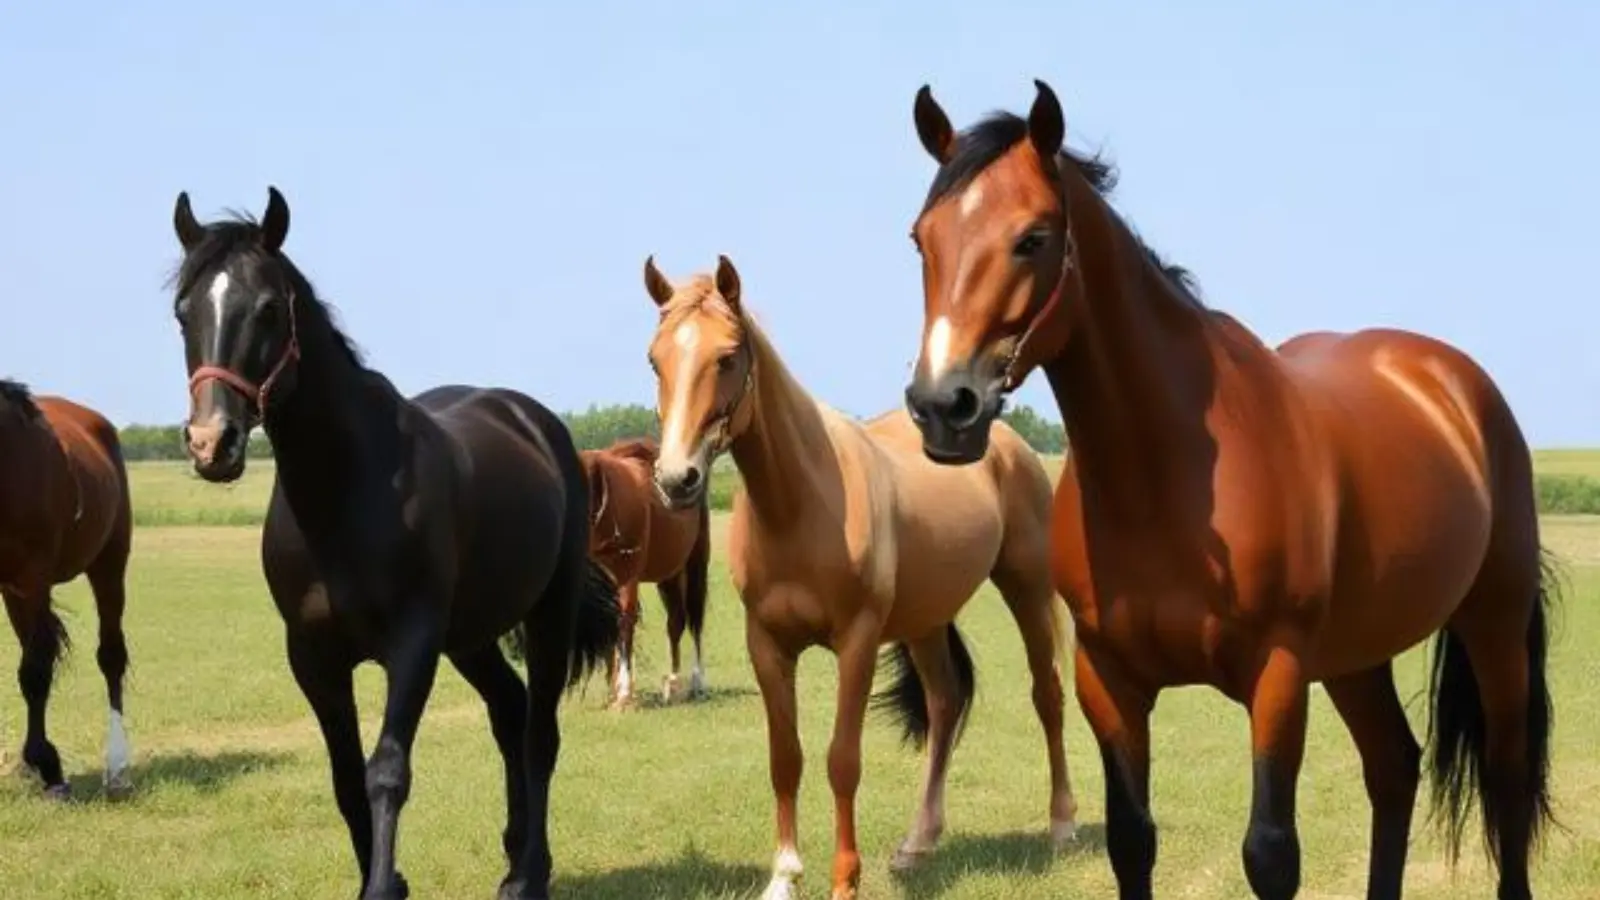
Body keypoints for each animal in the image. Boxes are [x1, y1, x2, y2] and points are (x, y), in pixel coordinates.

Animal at [0, 380, 133, 800]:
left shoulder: (33, 577)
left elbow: (35, 673)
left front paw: (49, 766)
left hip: (109, 563)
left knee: (111, 657)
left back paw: (117, 767)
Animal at [166, 186, 621, 900]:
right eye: (183, 312)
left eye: (267, 308)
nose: (213, 443)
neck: (345, 492)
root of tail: (536, 423)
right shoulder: (313, 657)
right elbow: (345, 778)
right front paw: (382, 881)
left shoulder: (412, 643)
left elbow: (386, 770)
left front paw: (385, 885)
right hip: (470, 637)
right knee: (509, 712)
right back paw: (514, 857)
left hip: (547, 613)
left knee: (540, 735)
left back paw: (531, 875)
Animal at [581, 438, 712, 709]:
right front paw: (613, 690)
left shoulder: (628, 578)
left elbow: (625, 624)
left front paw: (623, 693)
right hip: (670, 574)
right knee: (675, 622)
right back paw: (673, 683)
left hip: (695, 565)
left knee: (695, 620)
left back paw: (697, 682)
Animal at [641, 254, 1077, 900]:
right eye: (656, 358)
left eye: (727, 356)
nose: (676, 480)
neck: (800, 503)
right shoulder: (766, 643)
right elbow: (785, 757)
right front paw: (784, 874)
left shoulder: (858, 640)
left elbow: (842, 760)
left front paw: (844, 878)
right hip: (926, 621)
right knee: (945, 704)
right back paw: (917, 843)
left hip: (1025, 587)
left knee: (1046, 694)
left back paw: (1062, 824)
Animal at [901, 80, 1558, 900]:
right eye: (921, 239)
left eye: (1033, 238)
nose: (942, 406)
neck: (1164, 480)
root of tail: (1454, 382)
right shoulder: (1107, 681)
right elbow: (1131, 841)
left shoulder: (1276, 675)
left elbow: (1270, 854)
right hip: (1356, 654)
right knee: (1393, 768)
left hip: (1493, 622)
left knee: (1505, 776)